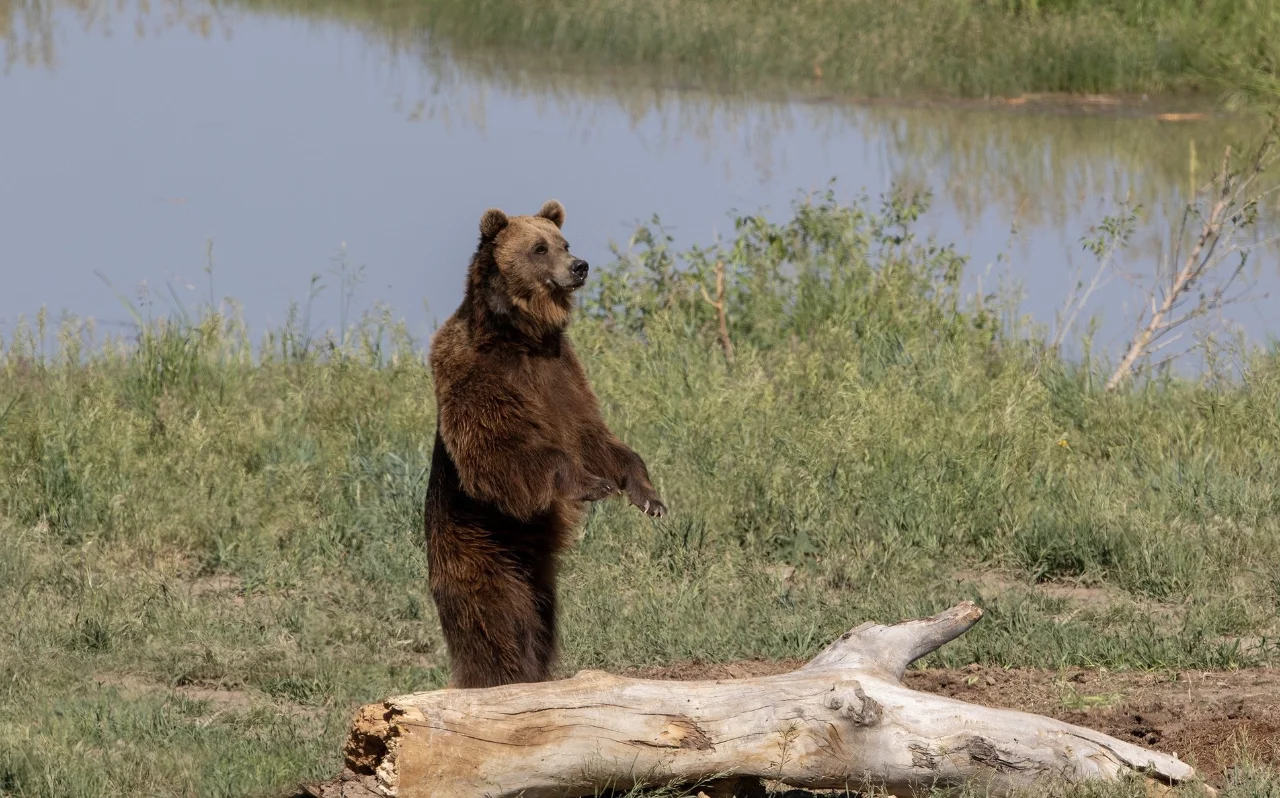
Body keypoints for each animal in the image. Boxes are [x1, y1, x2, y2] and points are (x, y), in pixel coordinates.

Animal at [424, 199, 666, 690]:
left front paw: (646, 495)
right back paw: (503, 676)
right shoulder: (474, 372)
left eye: (563, 242)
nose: (579, 265)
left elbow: (593, 434)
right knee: (499, 620)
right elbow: (498, 448)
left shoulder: (562, 374)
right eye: (539, 248)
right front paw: (593, 485)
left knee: (541, 621)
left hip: (537, 575)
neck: (519, 336)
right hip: (479, 547)